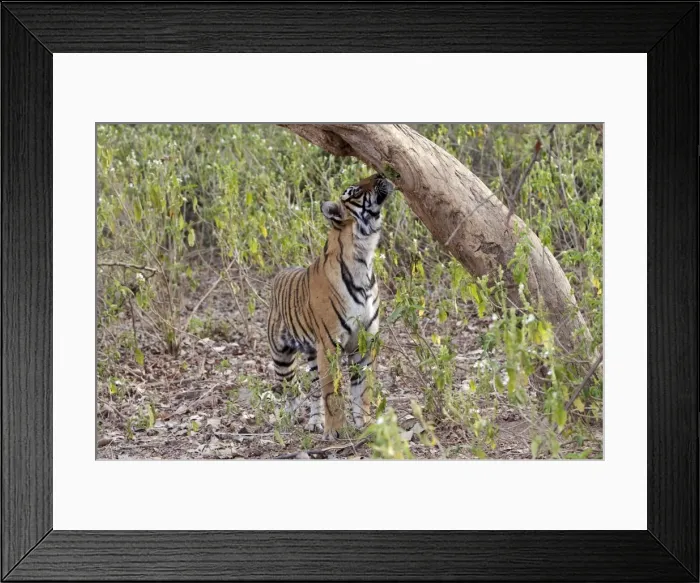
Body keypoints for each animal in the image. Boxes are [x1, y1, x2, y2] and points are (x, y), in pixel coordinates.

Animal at [266, 173, 394, 440]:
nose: (380, 173)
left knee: (314, 389)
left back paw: (314, 422)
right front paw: (335, 431)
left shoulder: (365, 342)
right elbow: (333, 393)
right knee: (290, 392)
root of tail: (281, 272)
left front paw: (365, 425)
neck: (364, 256)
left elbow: (363, 391)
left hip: (311, 353)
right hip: (282, 357)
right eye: (354, 190)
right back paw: (289, 423)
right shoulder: (329, 344)